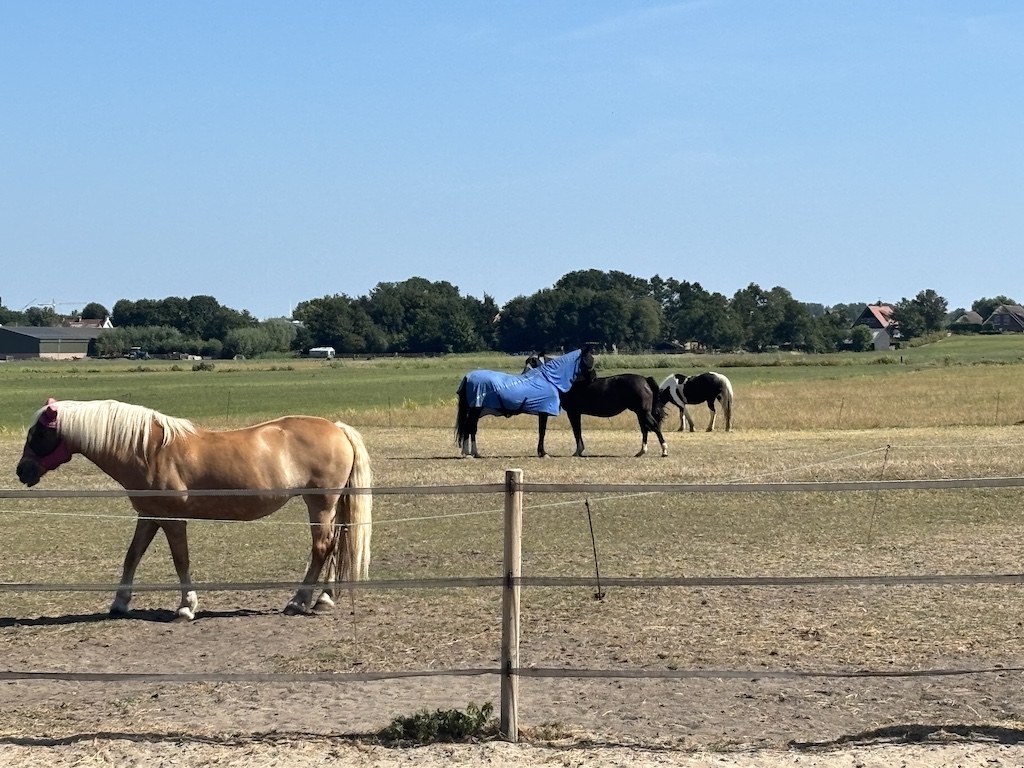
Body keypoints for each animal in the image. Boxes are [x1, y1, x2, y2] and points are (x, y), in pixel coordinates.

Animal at [16, 398, 373, 620]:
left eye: (40, 433)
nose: (22, 471)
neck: (148, 450)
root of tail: (338, 428)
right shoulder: (149, 515)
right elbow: (133, 556)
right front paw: (119, 602)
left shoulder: (174, 518)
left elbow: (181, 560)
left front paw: (186, 607)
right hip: (330, 506)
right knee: (335, 545)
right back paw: (324, 598)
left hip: (320, 503)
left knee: (322, 547)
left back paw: (299, 601)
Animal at [454, 346, 596, 457]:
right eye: (589, 359)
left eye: (533, 362)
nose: (594, 377)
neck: (546, 380)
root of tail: (468, 377)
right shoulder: (544, 412)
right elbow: (542, 431)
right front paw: (543, 453)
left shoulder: (541, 412)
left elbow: (541, 431)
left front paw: (541, 452)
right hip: (475, 410)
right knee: (469, 428)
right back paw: (471, 453)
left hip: (476, 411)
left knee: (470, 428)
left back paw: (472, 453)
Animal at [525, 355, 667, 458]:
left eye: (534, 364)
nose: (524, 377)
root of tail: (645, 380)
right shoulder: (575, 413)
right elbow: (577, 431)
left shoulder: (573, 412)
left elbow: (576, 431)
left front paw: (578, 451)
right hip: (640, 413)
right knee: (645, 429)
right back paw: (641, 451)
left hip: (643, 412)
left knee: (654, 426)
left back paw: (664, 450)